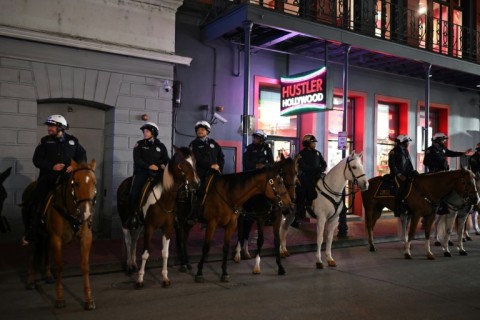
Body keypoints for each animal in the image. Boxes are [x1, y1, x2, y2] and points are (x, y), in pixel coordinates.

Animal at [22, 160, 97, 310]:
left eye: (94, 183)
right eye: (76, 183)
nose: (86, 213)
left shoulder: (86, 239)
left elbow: (85, 266)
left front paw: (88, 299)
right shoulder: (56, 239)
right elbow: (59, 266)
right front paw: (60, 298)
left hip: (46, 235)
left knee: (45, 248)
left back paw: (48, 275)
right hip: (32, 232)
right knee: (32, 253)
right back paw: (31, 280)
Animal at [116, 146, 199, 278]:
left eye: (194, 161)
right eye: (182, 163)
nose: (196, 183)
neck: (164, 198)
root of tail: (123, 183)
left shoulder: (169, 226)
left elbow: (167, 251)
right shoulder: (150, 226)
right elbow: (145, 253)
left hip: (140, 223)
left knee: (134, 239)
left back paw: (133, 264)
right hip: (125, 219)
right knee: (128, 240)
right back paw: (129, 266)